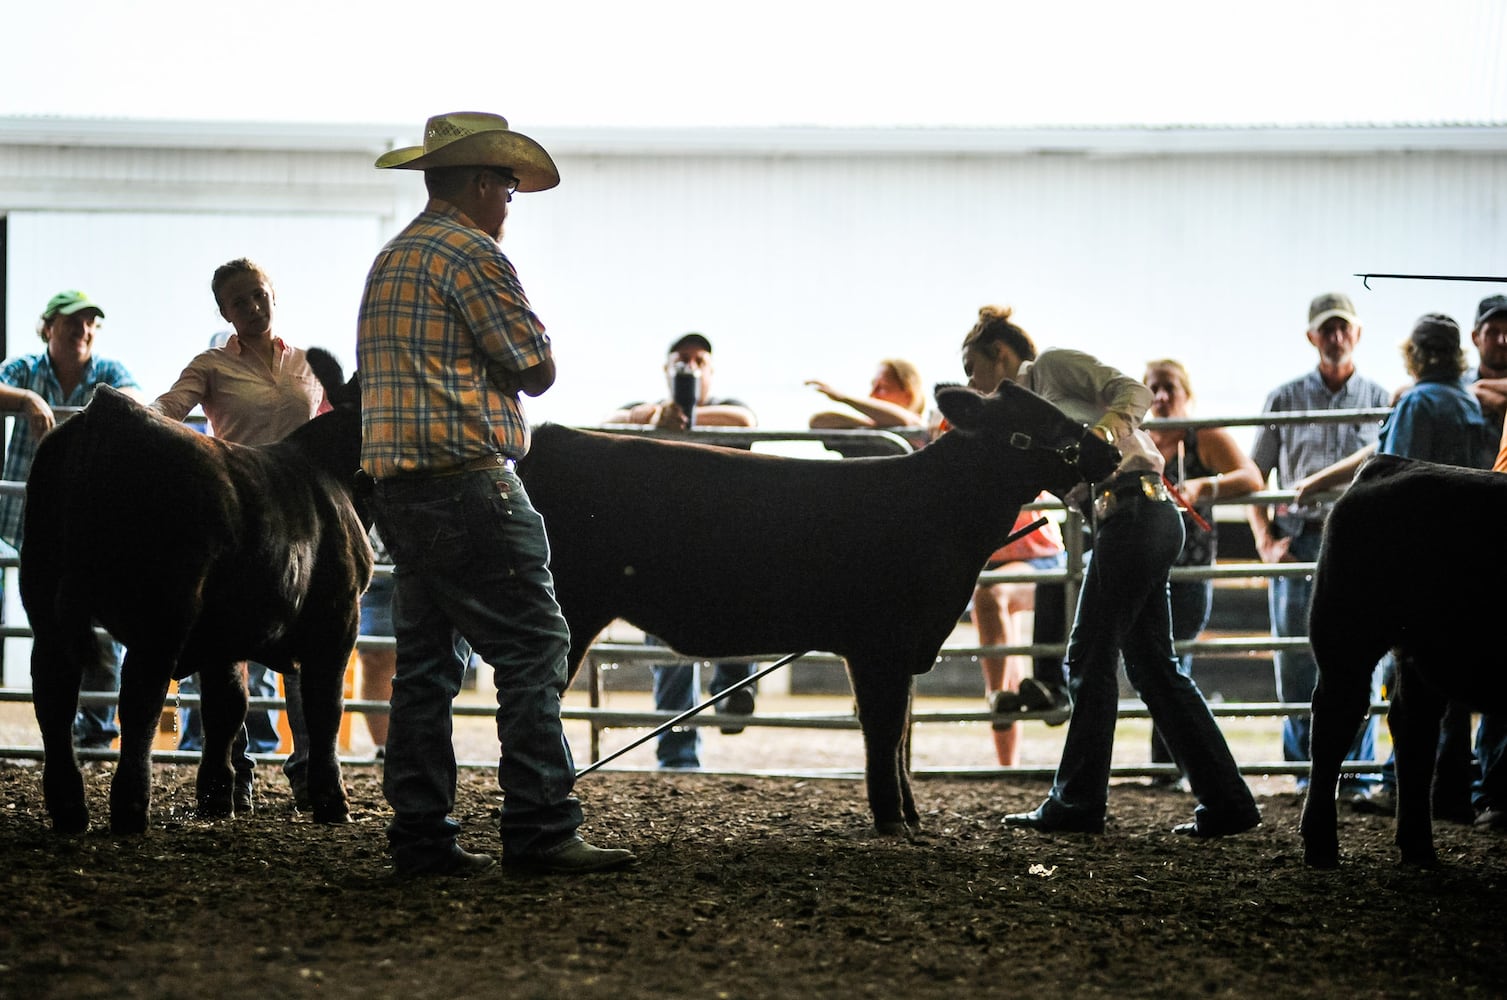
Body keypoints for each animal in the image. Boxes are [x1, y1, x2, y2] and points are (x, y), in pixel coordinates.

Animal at [24, 350, 370, 837]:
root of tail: (105, 413)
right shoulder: (339, 620)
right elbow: (325, 708)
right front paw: (332, 801)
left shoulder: (225, 634)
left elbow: (226, 706)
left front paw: (217, 796)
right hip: (164, 610)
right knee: (140, 697)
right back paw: (131, 809)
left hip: (44, 598)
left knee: (53, 690)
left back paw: (70, 809)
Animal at [518, 379, 1121, 831]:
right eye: (1038, 422)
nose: (1110, 450)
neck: (939, 510)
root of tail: (551, 438)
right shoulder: (879, 647)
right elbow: (885, 731)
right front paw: (892, 820)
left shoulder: (904, 651)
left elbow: (901, 731)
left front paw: (910, 816)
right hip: (569, 608)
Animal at [1296, 454, 1507, 867]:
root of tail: (1390, 463)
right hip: (1347, 636)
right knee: (1336, 719)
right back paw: (1322, 844)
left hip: (1417, 654)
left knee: (1412, 727)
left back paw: (1418, 846)